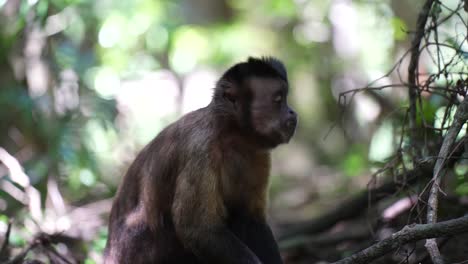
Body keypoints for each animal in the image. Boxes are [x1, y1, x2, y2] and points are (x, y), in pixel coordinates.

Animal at [104, 57, 298, 264]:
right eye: (278, 100)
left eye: (284, 98)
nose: (292, 112)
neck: (230, 135)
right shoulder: (200, 148)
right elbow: (197, 229)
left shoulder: (258, 152)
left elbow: (253, 219)